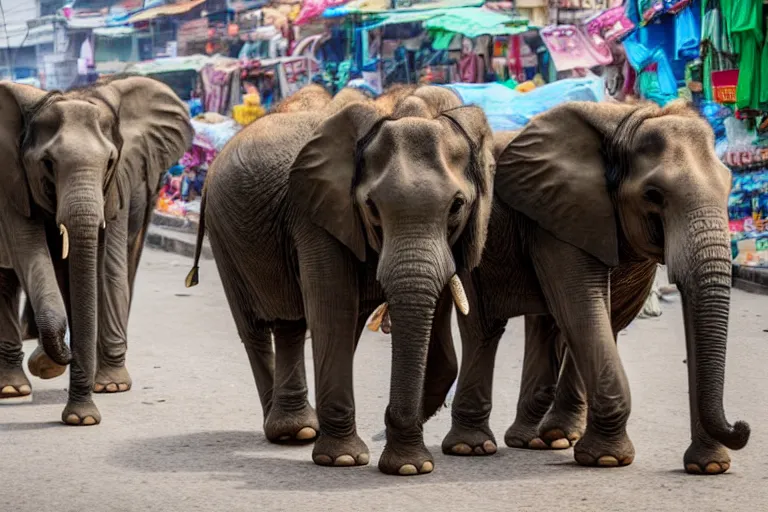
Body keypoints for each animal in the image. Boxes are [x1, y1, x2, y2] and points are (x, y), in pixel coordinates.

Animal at [0, 76, 191, 426]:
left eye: (110, 162)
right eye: (47, 163)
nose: (82, 415)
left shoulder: (121, 181)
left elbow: (106, 266)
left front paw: (99, 398)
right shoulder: (12, 178)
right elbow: (29, 251)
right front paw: (59, 380)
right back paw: (12, 388)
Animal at [189, 87, 496, 476]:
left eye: (457, 206)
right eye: (372, 207)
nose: (387, 425)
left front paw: (408, 460)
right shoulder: (316, 213)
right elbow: (334, 309)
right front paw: (347, 460)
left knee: (291, 325)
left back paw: (302, 430)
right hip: (224, 234)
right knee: (255, 329)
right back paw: (286, 432)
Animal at [438, 100, 752, 476]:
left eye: (729, 187)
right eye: (653, 195)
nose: (742, 426)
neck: (629, 122)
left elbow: (606, 316)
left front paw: (710, 467)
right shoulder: (562, 215)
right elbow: (584, 307)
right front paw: (607, 459)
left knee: (544, 323)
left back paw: (537, 439)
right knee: (486, 328)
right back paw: (472, 447)